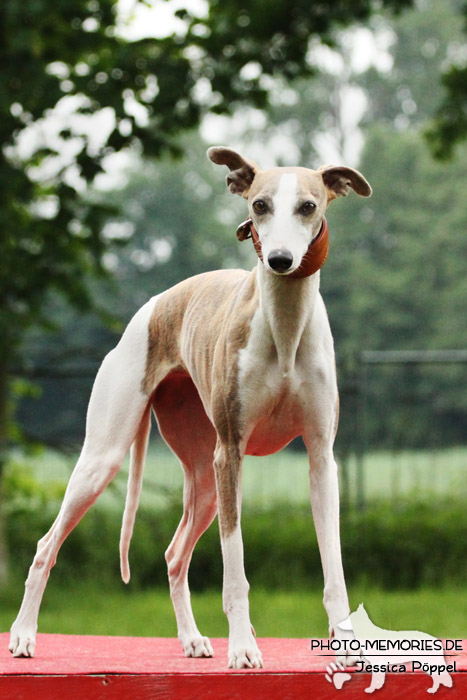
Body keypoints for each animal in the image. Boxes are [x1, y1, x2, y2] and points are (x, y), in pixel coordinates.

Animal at [8, 146, 372, 668]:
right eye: (259, 205)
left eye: (308, 206)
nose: (281, 260)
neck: (284, 328)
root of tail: (157, 302)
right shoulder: (231, 455)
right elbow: (234, 570)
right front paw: (243, 648)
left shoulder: (322, 458)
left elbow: (334, 568)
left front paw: (343, 646)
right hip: (109, 460)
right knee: (46, 545)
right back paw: (23, 635)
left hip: (203, 481)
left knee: (174, 554)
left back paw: (192, 639)